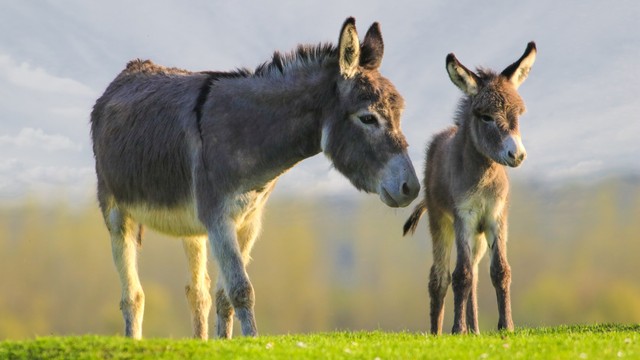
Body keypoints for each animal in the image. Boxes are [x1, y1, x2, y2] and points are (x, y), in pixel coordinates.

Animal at [91, 18, 420, 338]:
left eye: (399, 114)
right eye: (368, 118)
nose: (412, 188)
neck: (247, 135)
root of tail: (129, 71)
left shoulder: (248, 221)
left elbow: (225, 296)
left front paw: (226, 344)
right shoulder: (219, 219)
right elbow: (241, 290)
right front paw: (252, 340)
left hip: (191, 227)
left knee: (197, 292)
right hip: (117, 213)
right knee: (133, 296)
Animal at [404, 43, 536, 334]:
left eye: (518, 114)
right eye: (485, 117)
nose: (517, 155)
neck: (484, 176)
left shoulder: (496, 217)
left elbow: (500, 271)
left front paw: (506, 326)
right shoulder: (463, 217)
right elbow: (459, 275)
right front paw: (457, 330)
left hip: (478, 234)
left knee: (474, 274)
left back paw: (474, 330)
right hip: (441, 220)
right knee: (440, 276)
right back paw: (438, 331)